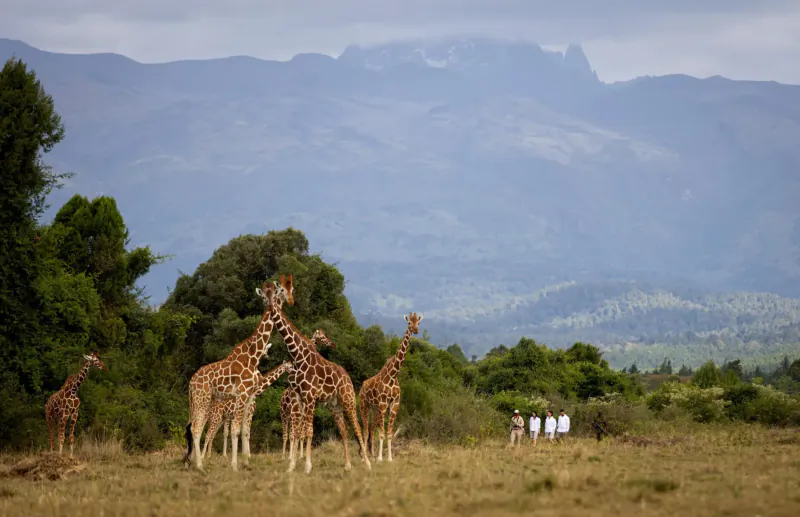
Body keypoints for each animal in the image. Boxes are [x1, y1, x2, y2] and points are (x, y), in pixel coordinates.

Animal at [183, 274, 294, 472]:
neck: (252, 355)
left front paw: (245, 461)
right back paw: (200, 465)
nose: (276, 302)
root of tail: (191, 382)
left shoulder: (248, 397)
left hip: (202, 400)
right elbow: (236, 430)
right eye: (278, 291)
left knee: (195, 428)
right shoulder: (242, 395)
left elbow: (243, 430)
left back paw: (192, 463)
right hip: (202, 399)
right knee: (196, 429)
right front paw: (235, 464)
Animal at [280, 328, 336, 459]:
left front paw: (300, 455)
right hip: (284, 414)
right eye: (322, 337)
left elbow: (302, 432)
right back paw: (285, 456)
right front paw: (297, 456)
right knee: (286, 433)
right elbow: (298, 432)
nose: (333, 344)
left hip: (291, 414)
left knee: (293, 432)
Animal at [359, 312, 423, 462]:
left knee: (371, 428)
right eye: (409, 323)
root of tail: (362, 386)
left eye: (418, 322)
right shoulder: (383, 403)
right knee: (365, 430)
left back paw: (371, 454)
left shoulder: (394, 404)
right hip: (364, 405)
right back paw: (364, 457)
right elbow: (382, 433)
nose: (416, 330)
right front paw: (380, 459)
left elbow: (388, 433)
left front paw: (389, 458)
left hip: (374, 409)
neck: (393, 376)